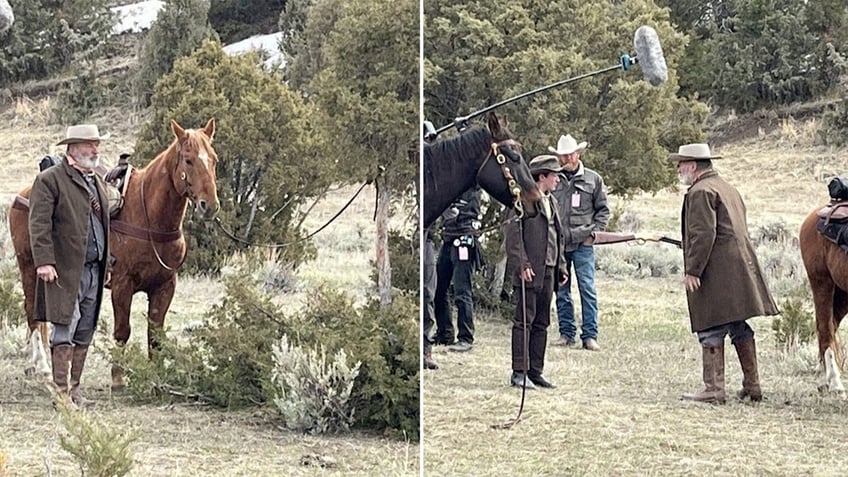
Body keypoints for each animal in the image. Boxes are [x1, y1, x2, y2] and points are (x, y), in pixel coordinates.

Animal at [7, 118, 219, 386]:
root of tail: (25, 194)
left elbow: (155, 333)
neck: (149, 217)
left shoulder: (165, 285)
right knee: (31, 312)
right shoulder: (122, 285)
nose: (209, 206)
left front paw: (157, 378)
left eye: (214, 159)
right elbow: (122, 331)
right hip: (28, 267)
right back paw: (42, 365)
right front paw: (118, 379)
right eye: (189, 160)